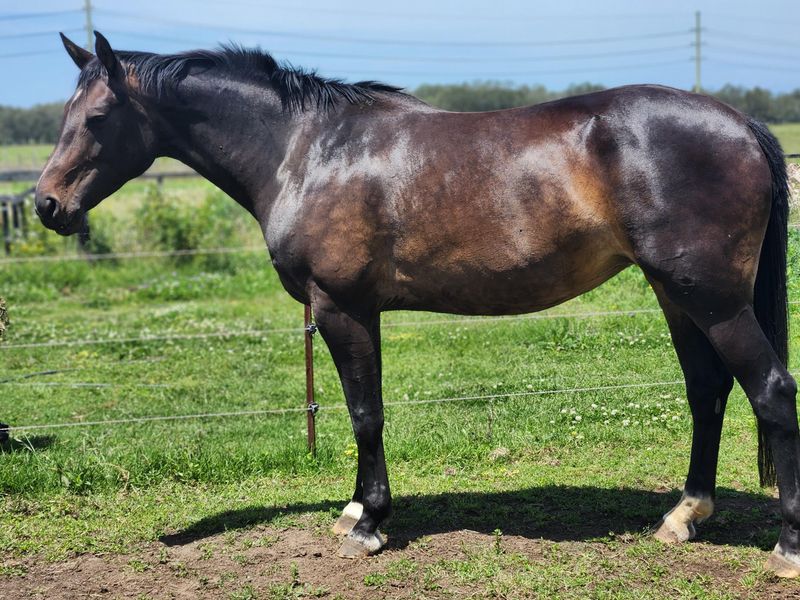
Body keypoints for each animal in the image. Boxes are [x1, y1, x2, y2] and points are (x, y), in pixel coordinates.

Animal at [36, 32, 798, 575]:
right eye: (65, 115)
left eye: (98, 117)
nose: (47, 205)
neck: (306, 151)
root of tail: (742, 124)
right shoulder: (355, 311)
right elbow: (363, 410)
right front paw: (355, 510)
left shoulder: (341, 308)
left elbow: (364, 412)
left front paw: (369, 524)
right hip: (677, 294)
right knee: (707, 390)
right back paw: (683, 516)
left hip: (713, 298)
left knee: (769, 389)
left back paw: (786, 544)